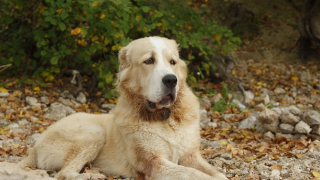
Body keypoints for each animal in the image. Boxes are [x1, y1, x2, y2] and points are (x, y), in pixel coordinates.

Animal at [18, 37, 228, 180]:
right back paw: (92, 175)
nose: (171, 80)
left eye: (172, 62)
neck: (165, 117)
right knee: (64, 174)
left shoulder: (191, 156)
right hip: (93, 133)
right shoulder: (154, 162)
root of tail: (35, 146)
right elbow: (193, 174)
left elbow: (215, 173)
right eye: (149, 61)